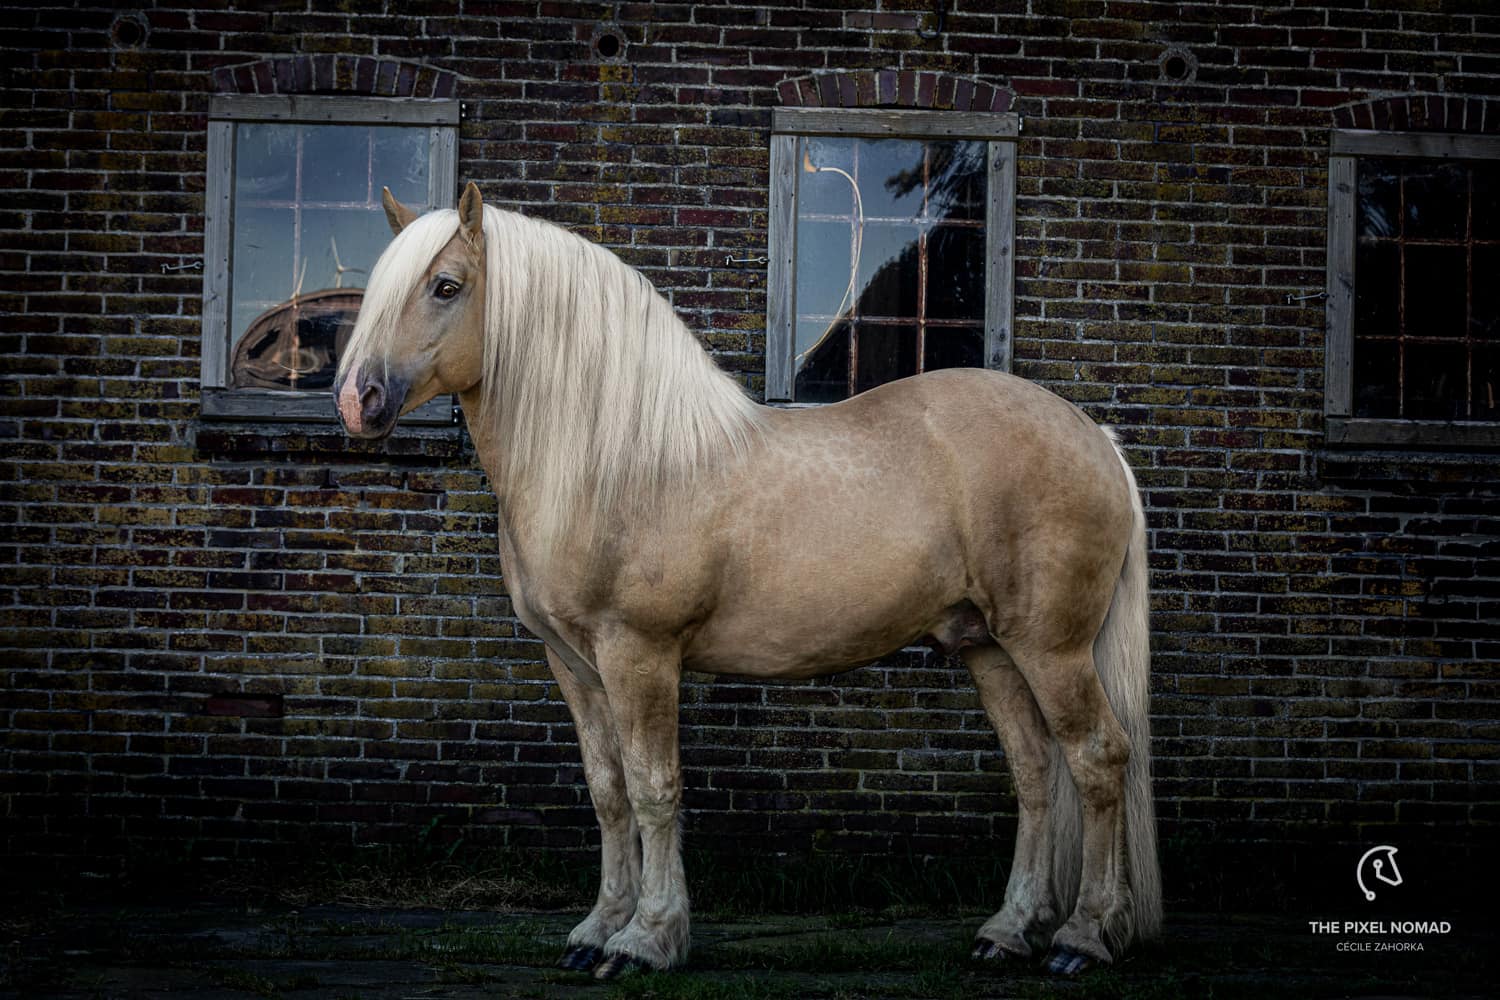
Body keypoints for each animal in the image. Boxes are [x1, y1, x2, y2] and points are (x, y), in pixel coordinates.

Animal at [337, 183, 1158, 983]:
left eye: (446, 285)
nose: (355, 400)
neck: (619, 463)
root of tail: (1096, 439)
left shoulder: (640, 655)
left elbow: (654, 789)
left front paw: (647, 940)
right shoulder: (573, 664)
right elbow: (608, 792)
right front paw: (597, 930)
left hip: (1050, 648)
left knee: (1097, 761)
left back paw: (1083, 937)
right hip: (988, 648)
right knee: (1036, 772)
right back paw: (1010, 932)